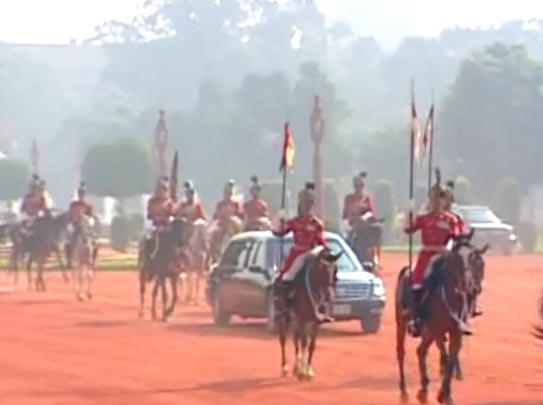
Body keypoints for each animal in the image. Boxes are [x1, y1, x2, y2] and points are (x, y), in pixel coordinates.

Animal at [276, 245, 340, 380]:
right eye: (323, 269)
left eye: (335, 269)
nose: (329, 295)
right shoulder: (302, 319)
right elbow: (304, 343)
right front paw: (302, 372)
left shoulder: (316, 322)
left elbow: (312, 345)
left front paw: (308, 370)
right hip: (284, 316)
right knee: (283, 339)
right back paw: (285, 367)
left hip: (295, 319)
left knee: (295, 339)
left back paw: (295, 367)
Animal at [398, 232, 478, 404]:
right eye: (457, 257)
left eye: (473, 256)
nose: (471, 286)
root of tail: (407, 271)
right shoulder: (437, 331)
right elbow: (446, 357)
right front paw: (444, 393)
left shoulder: (456, 333)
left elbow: (452, 359)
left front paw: (446, 394)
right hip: (402, 323)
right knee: (401, 352)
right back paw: (403, 390)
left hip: (427, 333)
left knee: (421, 351)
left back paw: (423, 390)